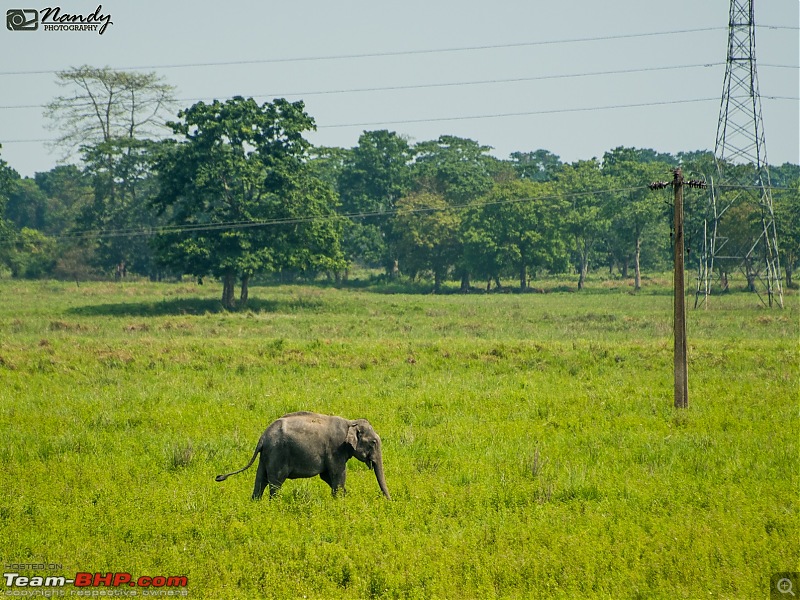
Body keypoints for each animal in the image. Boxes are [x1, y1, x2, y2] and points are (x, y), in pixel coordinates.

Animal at [216, 410, 390, 500]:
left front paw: (345, 497)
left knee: (260, 480)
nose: (388, 501)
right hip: (277, 454)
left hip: (266, 456)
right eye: (373, 442)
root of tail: (263, 437)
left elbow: (327, 476)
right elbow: (337, 474)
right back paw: (274, 506)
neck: (350, 422)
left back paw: (256, 505)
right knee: (275, 483)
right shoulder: (336, 449)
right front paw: (340, 501)